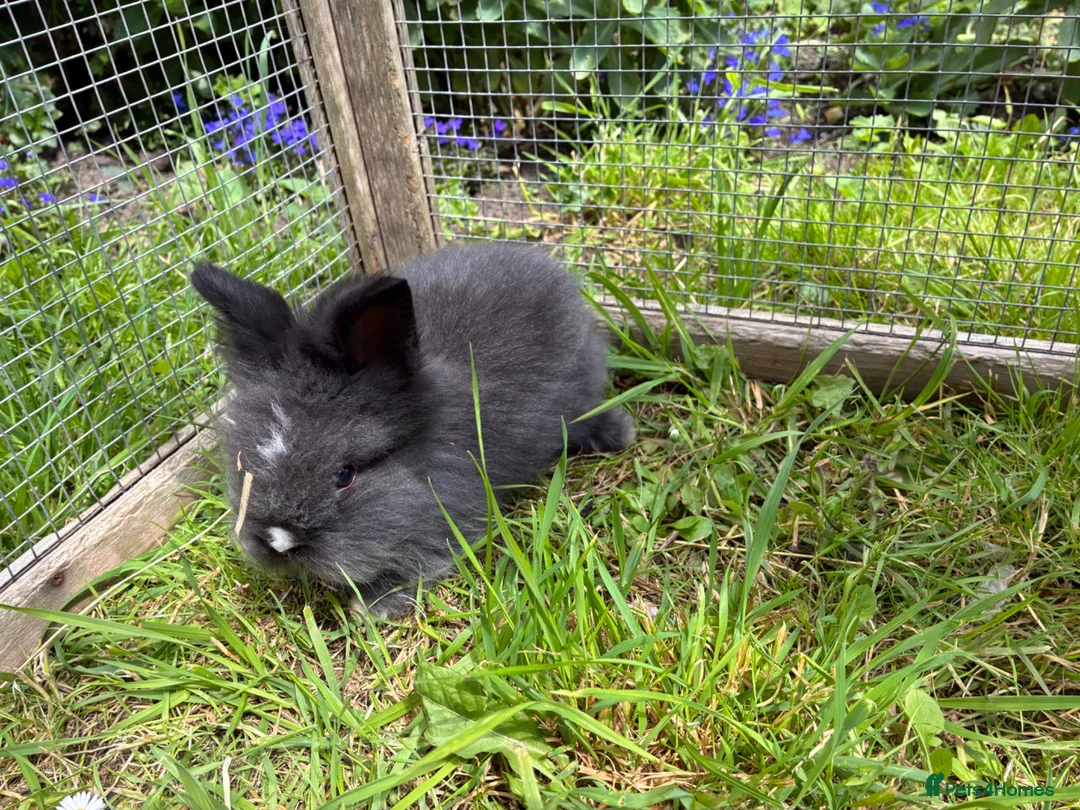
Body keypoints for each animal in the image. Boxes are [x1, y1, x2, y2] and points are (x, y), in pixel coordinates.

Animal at [190, 242, 635, 618]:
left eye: (345, 475)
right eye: (244, 465)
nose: (278, 541)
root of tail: (546, 267)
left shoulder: (452, 513)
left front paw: (373, 606)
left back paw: (619, 433)